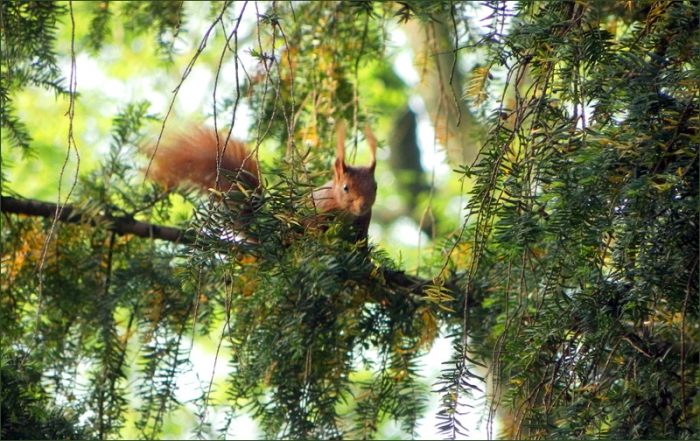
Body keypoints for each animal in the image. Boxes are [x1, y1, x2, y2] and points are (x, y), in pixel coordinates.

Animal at [144, 123, 378, 241]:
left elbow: (361, 243)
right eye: (345, 188)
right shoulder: (319, 210)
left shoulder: (363, 221)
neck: (345, 211)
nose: (364, 205)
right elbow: (314, 229)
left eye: (375, 188)